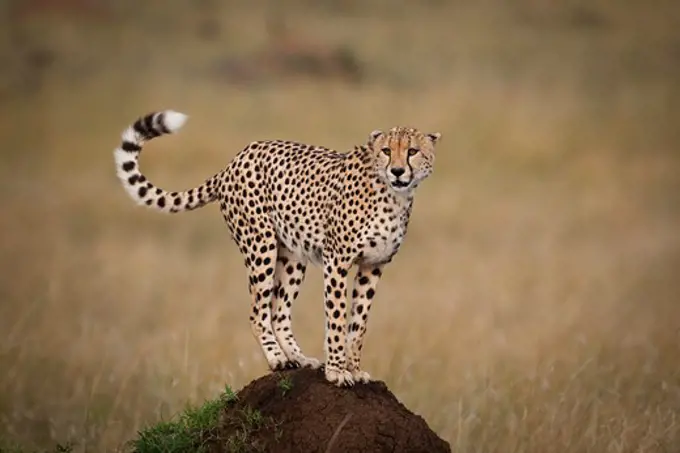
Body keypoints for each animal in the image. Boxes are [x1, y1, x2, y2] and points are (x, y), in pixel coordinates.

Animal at [113, 111, 440, 386]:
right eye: (386, 151)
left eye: (412, 151)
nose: (397, 171)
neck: (395, 196)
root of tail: (238, 157)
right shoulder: (337, 261)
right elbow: (336, 317)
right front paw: (337, 371)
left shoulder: (373, 266)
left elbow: (358, 323)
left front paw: (355, 369)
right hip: (261, 245)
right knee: (258, 312)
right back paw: (277, 359)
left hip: (293, 256)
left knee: (278, 310)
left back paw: (298, 358)